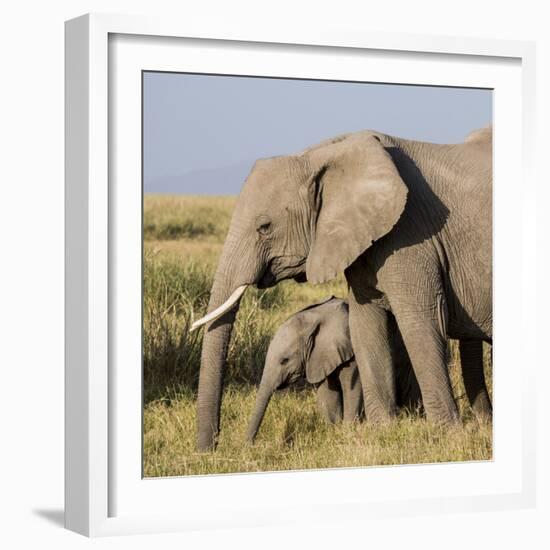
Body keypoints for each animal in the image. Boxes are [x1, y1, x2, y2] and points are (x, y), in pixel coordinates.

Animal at [246, 298, 422, 444]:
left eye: (285, 360)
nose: (250, 445)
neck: (316, 317)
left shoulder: (351, 352)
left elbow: (353, 387)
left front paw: (348, 430)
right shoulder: (319, 356)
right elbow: (327, 392)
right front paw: (334, 431)